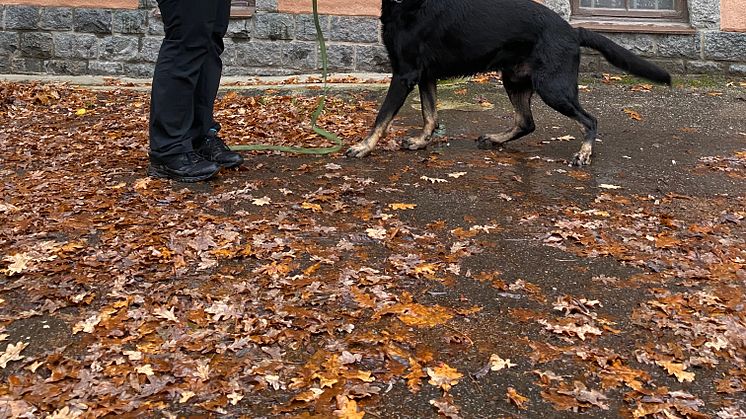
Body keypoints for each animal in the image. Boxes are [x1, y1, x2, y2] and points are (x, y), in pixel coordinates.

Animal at [346, 0, 672, 167]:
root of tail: (573, 30)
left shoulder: (405, 75)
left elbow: (382, 117)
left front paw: (363, 147)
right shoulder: (425, 76)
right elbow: (430, 115)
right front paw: (421, 141)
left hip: (552, 87)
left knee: (589, 119)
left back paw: (584, 153)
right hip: (514, 80)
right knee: (526, 122)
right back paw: (495, 138)